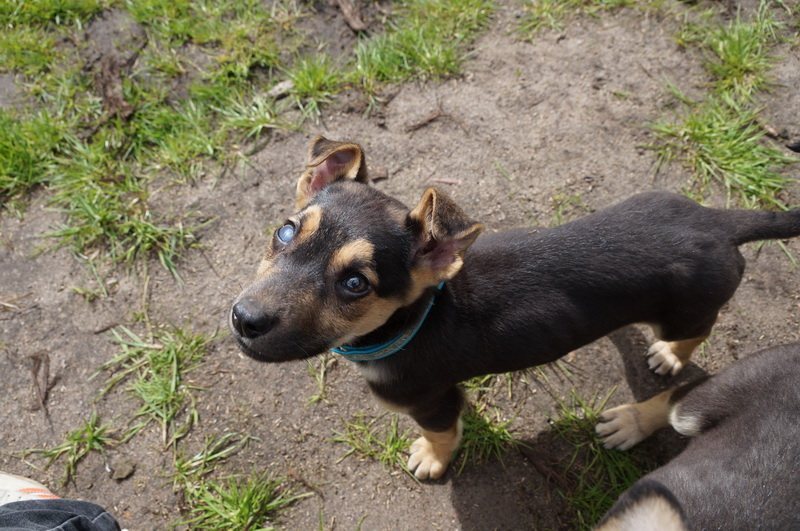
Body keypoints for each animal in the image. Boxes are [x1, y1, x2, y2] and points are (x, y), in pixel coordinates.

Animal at [229, 136, 800, 479]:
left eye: (355, 284)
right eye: (285, 231)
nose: (245, 320)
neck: (414, 321)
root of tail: (719, 222)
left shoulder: (433, 400)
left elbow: (439, 433)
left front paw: (432, 459)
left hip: (688, 309)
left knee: (693, 343)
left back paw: (660, 372)